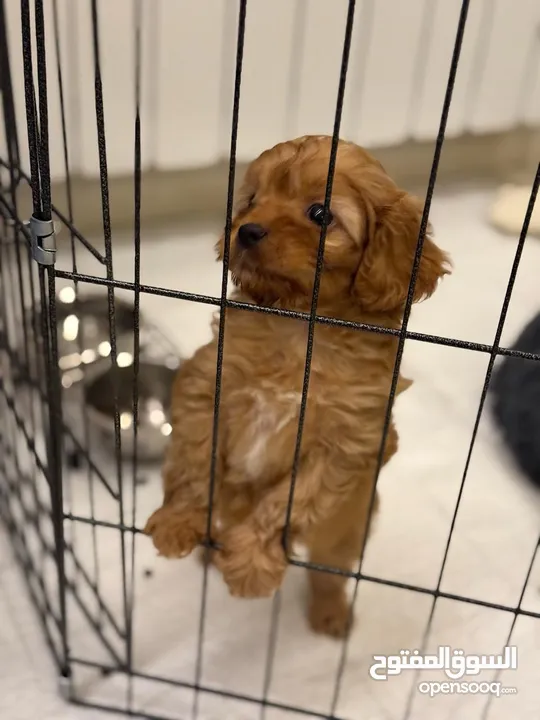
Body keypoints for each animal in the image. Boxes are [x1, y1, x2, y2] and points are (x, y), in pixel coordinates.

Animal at [144, 138, 452, 640]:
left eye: (320, 213)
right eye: (251, 199)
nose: (246, 230)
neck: (298, 329)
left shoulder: (347, 444)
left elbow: (289, 502)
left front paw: (252, 562)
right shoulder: (206, 382)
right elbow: (194, 459)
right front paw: (177, 521)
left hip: (347, 531)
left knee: (329, 573)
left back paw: (331, 614)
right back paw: (211, 544)